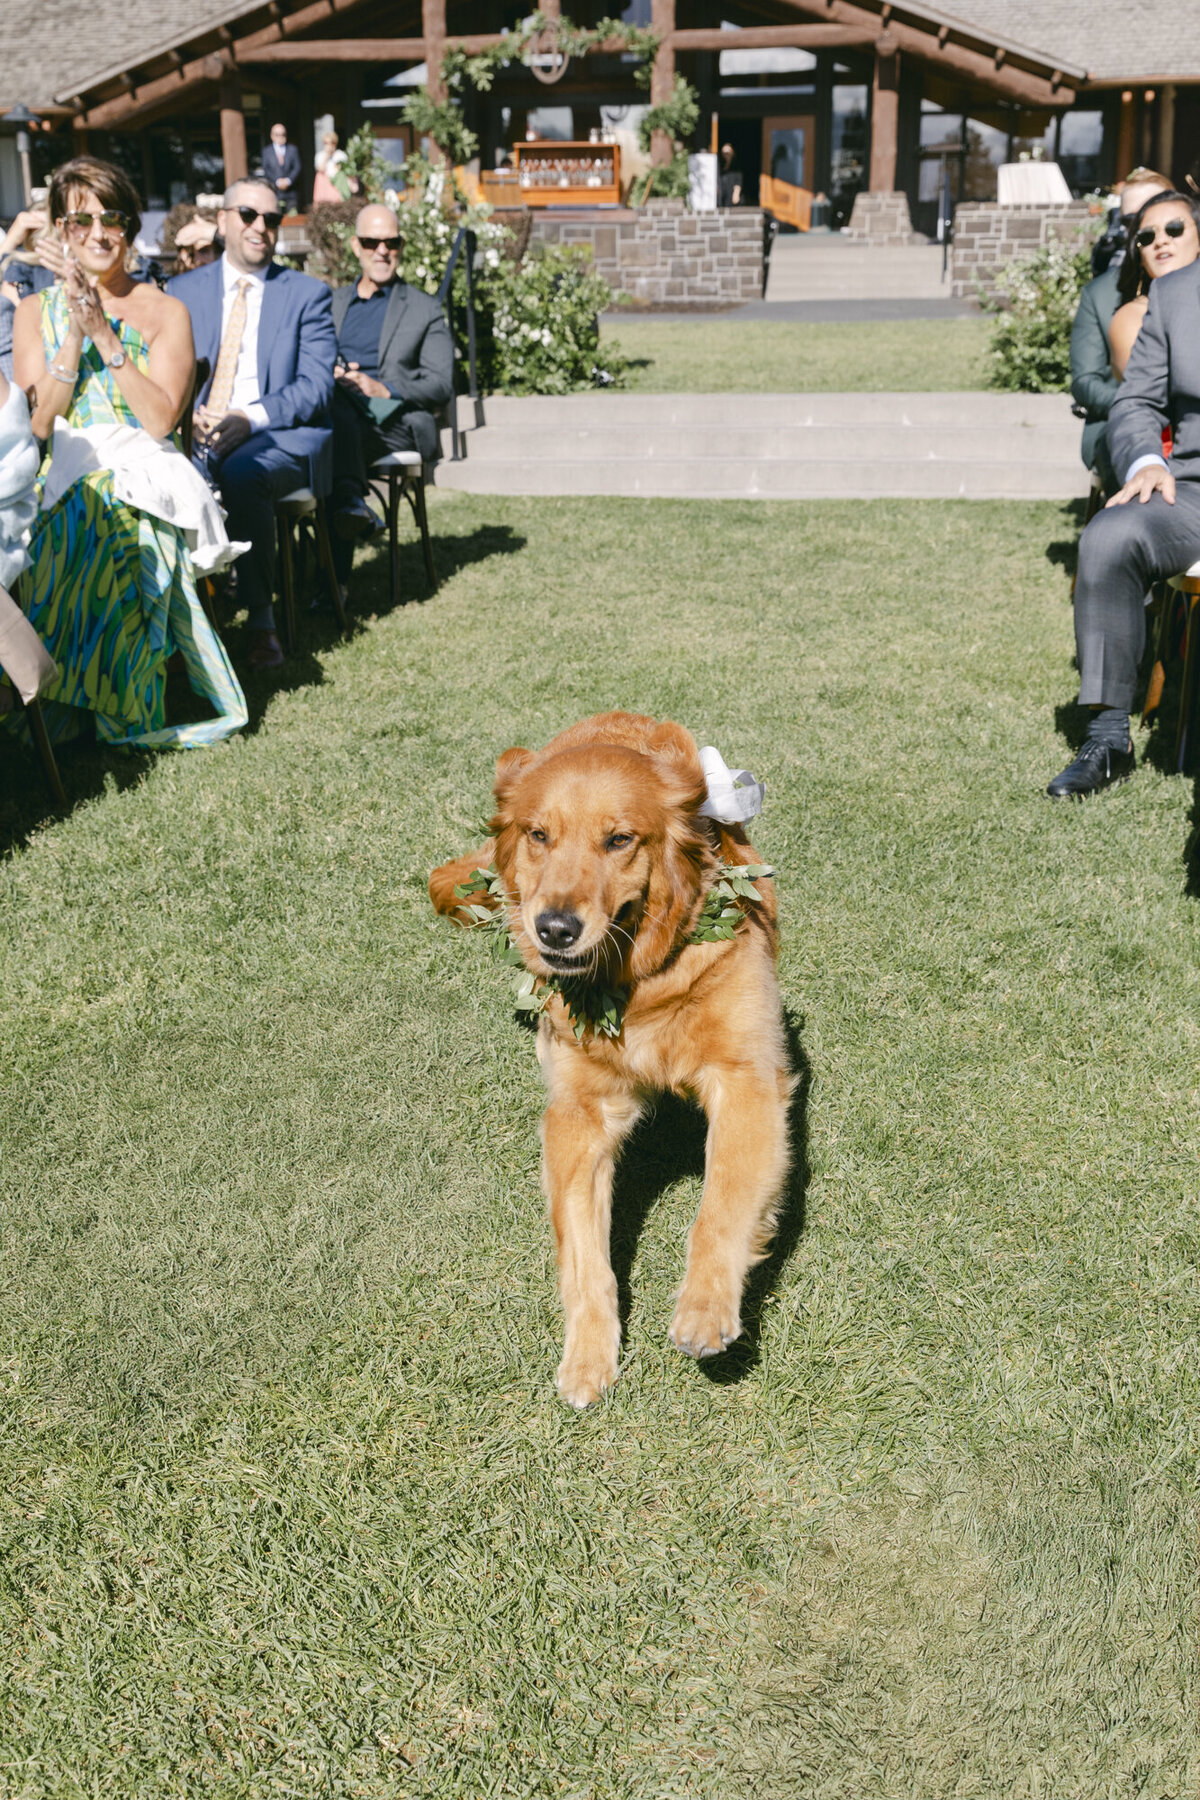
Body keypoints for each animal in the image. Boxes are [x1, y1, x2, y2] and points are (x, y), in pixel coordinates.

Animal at [426, 709, 791, 1411]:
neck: (641, 982)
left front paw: (704, 1308)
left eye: (620, 840)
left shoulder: (747, 1081)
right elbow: (582, 1255)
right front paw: (588, 1355)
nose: (555, 929)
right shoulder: (580, 1113)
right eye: (539, 835)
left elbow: (721, 1204)